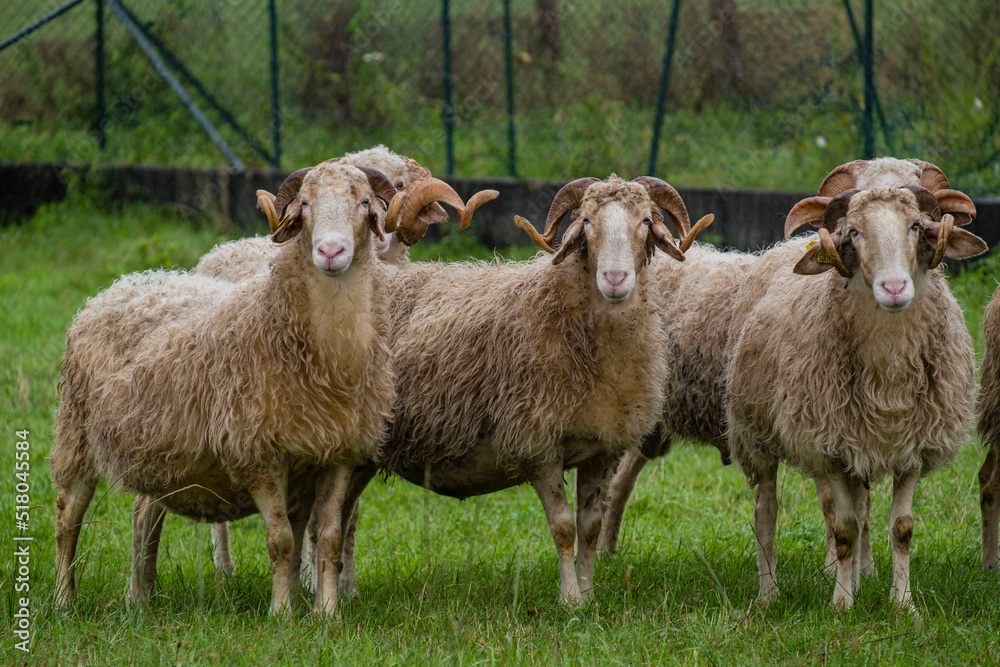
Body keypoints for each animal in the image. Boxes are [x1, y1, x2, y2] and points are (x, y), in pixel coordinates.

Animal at [51, 162, 453, 615]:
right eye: (305, 204)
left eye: (364, 202)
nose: (331, 252)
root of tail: (121, 286)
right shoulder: (259, 457)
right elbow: (282, 541)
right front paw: (281, 614)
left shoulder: (339, 454)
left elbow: (327, 538)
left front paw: (326, 613)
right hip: (77, 435)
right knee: (68, 517)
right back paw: (65, 599)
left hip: (159, 452)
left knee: (144, 513)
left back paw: (142, 597)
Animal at [724, 166, 987, 610]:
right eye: (854, 233)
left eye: (916, 226)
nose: (894, 288)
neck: (889, 370)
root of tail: (784, 245)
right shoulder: (828, 448)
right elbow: (843, 527)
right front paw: (842, 604)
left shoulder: (911, 448)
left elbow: (901, 527)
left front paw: (902, 603)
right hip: (754, 433)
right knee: (767, 512)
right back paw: (769, 593)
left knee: (863, 508)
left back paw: (863, 576)